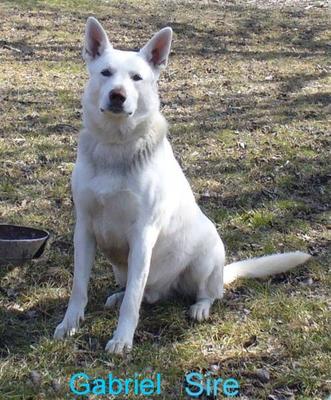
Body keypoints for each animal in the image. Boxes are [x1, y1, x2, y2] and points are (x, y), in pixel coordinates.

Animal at [53, 17, 312, 354]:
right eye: (106, 72)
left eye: (137, 78)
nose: (117, 96)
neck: (115, 147)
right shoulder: (84, 229)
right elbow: (79, 288)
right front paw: (70, 324)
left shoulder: (142, 235)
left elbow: (133, 301)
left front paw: (122, 339)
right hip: (126, 270)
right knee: (143, 293)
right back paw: (121, 296)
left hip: (203, 261)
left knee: (203, 293)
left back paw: (200, 307)